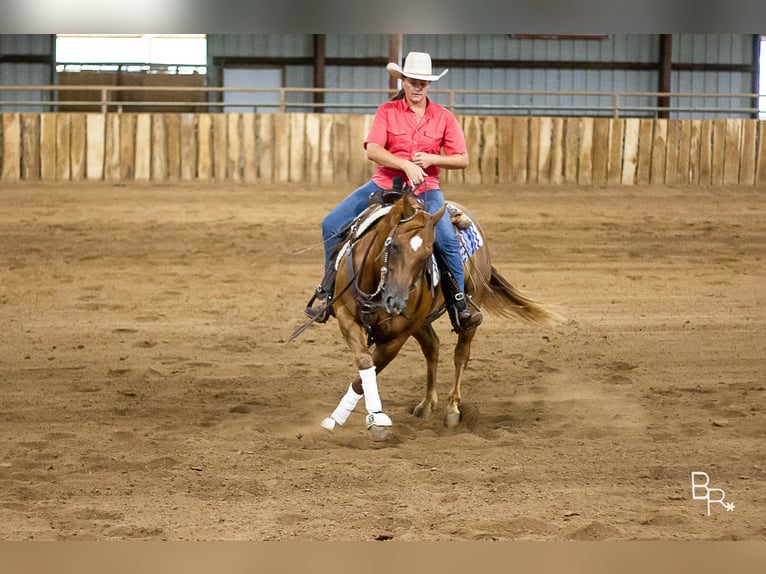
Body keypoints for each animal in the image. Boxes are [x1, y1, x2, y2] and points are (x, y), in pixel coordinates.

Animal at [294, 190, 560, 440]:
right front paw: (337, 418)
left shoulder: (396, 337)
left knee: (461, 354)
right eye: (394, 245)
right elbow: (365, 362)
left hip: (468, 310)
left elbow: (368, 373)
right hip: (421, 323)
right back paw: (427, 403)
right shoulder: (346, 317)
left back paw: (452, 409)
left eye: (426, 255)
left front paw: (376, 419)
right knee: (433, 346)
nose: (396, 301)